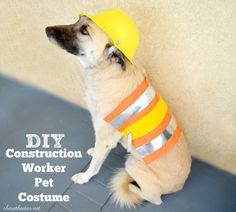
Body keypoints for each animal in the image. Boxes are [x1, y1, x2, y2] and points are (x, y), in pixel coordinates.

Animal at [46, 15, 192, 209]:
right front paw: (93, 151)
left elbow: (94, 165)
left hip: (133, 165)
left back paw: (132, 187)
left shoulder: (105, 138)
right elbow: (97, 151)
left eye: (84, 31)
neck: (107, 72)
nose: (47, 29)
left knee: (155, 199)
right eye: (77, 20)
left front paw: (84, 177)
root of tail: (181, 184)